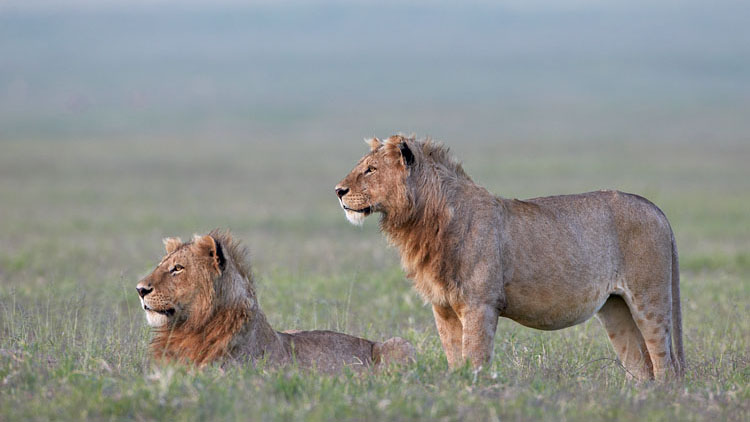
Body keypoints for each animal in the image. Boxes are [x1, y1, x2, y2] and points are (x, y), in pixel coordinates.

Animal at [334, 135, 688, 380]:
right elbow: (455, 359)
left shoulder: (480, 305)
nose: (338, 191)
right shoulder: (443, 309)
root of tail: (655, 208)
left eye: (370, 169)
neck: (422, 221)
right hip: (615, 309)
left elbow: (475, 359)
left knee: (665, 365)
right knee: (641, 367)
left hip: (650, 300)